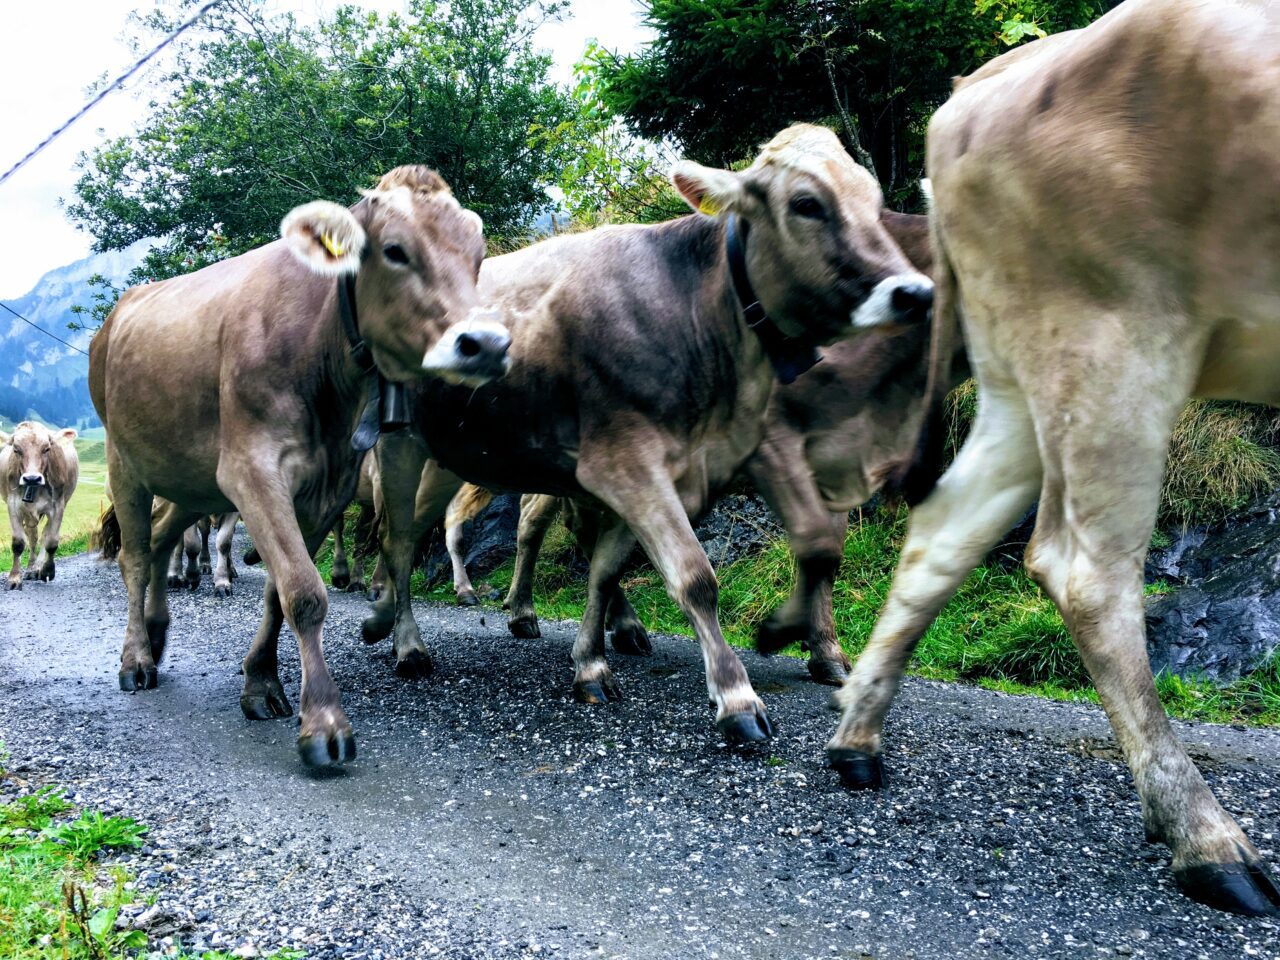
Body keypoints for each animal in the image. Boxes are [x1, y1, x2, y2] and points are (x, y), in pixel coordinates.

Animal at [366, 126, 936, 742]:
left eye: (874, 201)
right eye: (806, 204)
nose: (914, 293)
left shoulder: (678, 470)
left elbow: (606, 571)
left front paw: (591, 665)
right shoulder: (629, 463)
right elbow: (696, 577)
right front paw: (737, 698)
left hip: (451, 453)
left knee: (416, 529)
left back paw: (384, 619)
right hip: (400, 445)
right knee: (399, 538)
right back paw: (407, 644)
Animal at [829, 0, 1280, 916]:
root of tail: (978, 85)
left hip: (1022, 368)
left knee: (944, 531)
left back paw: (857, 737)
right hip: (1113, 337)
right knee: (1085, 573)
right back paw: (1205, 839)